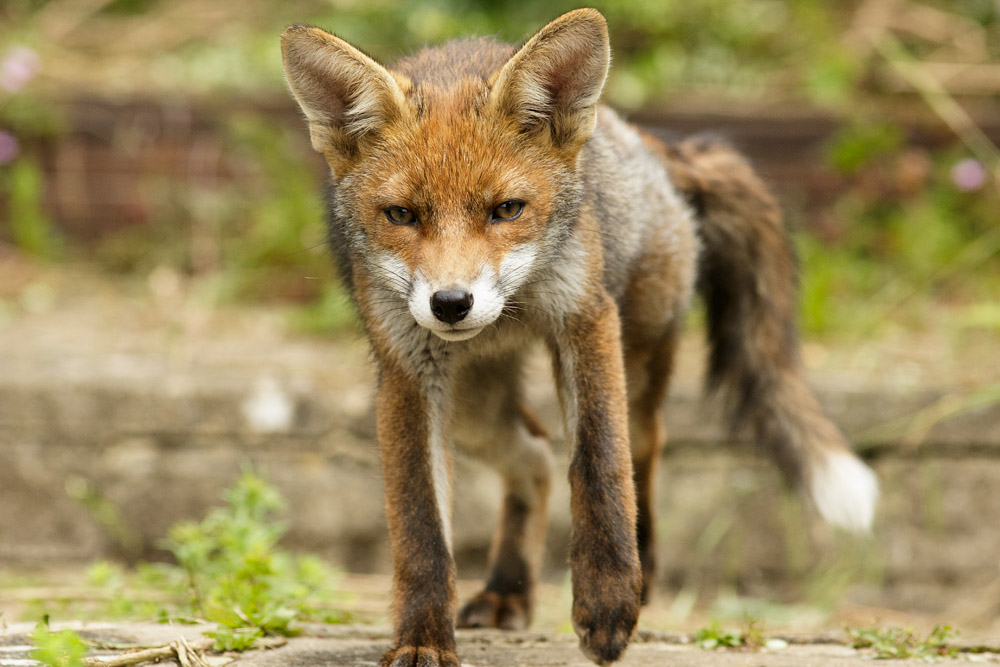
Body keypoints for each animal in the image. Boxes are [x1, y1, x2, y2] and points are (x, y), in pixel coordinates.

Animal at [280, 8, 879, 667]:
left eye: (507, 210)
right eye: (401, 216)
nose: (452, 304)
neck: (515, 311)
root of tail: (644, 140)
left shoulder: (584, 319)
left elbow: (598, 466)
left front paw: (608, 605)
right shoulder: (408, 370)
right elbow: (420, 532)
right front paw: (422, 640)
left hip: (634, 362)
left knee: (639, 448)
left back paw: (641, 569)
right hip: (472, 410)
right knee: (536, 455)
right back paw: (508, 590)